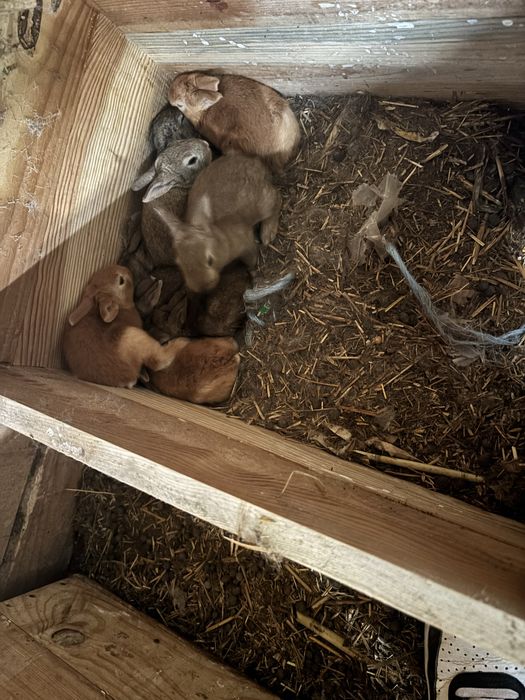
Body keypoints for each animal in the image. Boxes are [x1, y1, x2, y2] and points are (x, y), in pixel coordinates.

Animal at [152, 153, 281, 294]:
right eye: (180, 264)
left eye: (210, 260)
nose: (202, 287)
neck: (220, 235)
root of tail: (258, 164)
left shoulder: (246, 245)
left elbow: (251, 259)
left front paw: (252, 271)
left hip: (264, 203)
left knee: (277, 200)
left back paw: (267, 234)